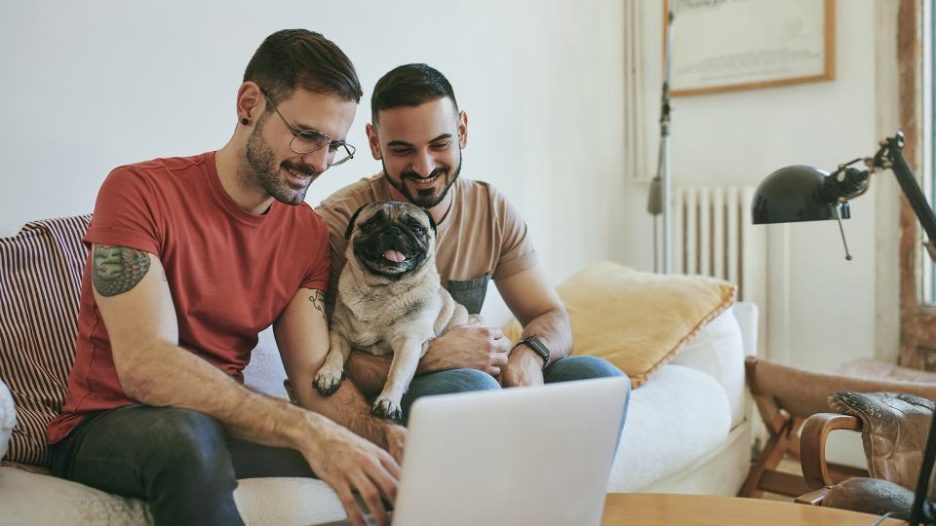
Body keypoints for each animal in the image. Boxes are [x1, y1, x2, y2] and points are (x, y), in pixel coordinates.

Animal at [314, 200, 476, 422]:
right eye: (372, 224)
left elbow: (396, 373)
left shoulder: (408, 342)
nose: (393, 230)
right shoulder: (339, 333)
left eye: (416, 228)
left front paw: (388, 401)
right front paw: (328, 374)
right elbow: (334, 354)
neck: (380, 289)